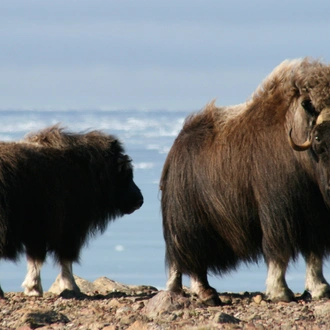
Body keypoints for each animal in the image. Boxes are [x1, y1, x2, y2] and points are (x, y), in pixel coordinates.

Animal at [0, 125, 142, 296]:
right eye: (125, 172)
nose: (139, 201)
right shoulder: (68, 228)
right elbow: (63, 258)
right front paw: (70, 287)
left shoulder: (38, 232)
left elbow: (36, 259)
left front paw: (34, 288)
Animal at [160, 58, 330, 306]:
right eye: (318, 138)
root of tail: (176, 146)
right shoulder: (278, 210)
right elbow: (279, 249)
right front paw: (281, 292)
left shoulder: (316, 216)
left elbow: (314, 253)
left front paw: (320, 288)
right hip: (187, 220)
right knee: (188, 257)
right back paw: (203, 294)